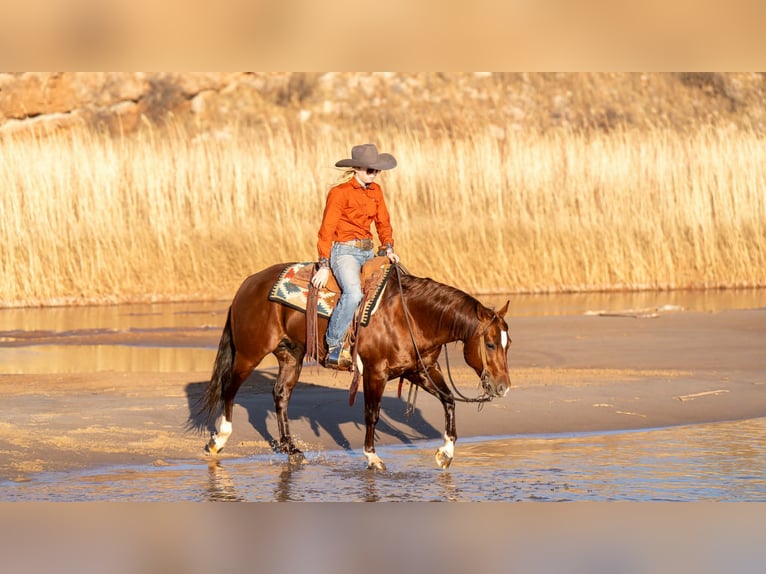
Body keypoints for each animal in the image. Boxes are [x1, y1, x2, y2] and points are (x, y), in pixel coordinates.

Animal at [195, 262, 512, 470]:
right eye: (490, 344)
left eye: (508, 343)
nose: (503, 387)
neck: (410, 316)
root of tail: (248, 284)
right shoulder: (375, 373)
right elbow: (372, 414)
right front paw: (372, 456)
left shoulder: (419, 371)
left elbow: (449, 401)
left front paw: (445, 453)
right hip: (250, 353)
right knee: (230, 387)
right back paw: (218, 440)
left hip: (291, 355)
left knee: (280, 395)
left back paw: (291, 449)